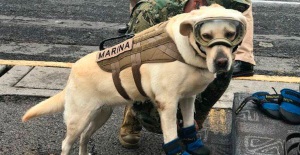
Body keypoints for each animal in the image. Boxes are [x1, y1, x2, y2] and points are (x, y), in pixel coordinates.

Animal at [21, 4, 246, 155]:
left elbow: (189, 125)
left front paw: (194, 145)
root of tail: (72, 73)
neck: (186, 49)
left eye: (231, 34)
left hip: (101, 114)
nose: (222, 62)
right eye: (206, 36)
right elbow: (171, 135)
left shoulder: (187, 98)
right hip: (79, 119)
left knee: (84, 138)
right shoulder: (167, 104)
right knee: (66, 143)